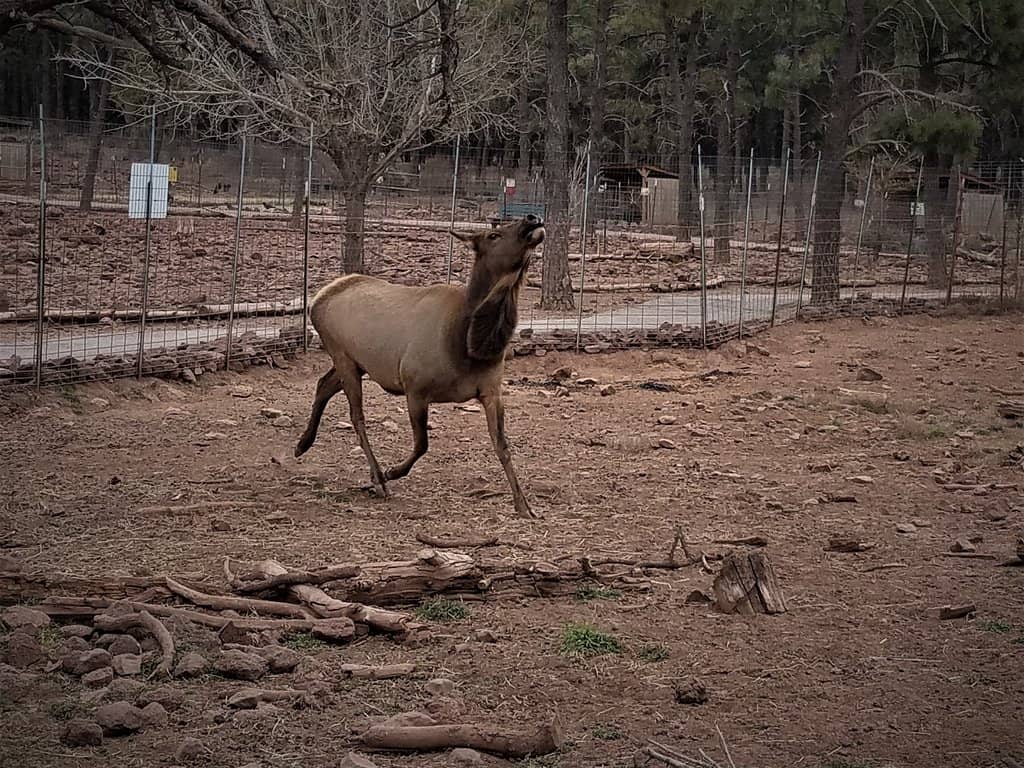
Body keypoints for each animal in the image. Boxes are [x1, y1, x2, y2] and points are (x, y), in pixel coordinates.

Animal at [294, 215, 545, 518]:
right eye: (493, 235)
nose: (532, 219)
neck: (470, 347)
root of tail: (318, 298)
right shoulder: (415, 387)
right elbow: (422, 444)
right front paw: (390, 472)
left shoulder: (492, 390)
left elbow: (502, 446)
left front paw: (524, 505)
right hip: (341, 354)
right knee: (356, 416)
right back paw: (377, 478)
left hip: (355, 362)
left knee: (323, 385)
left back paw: (302, 444)